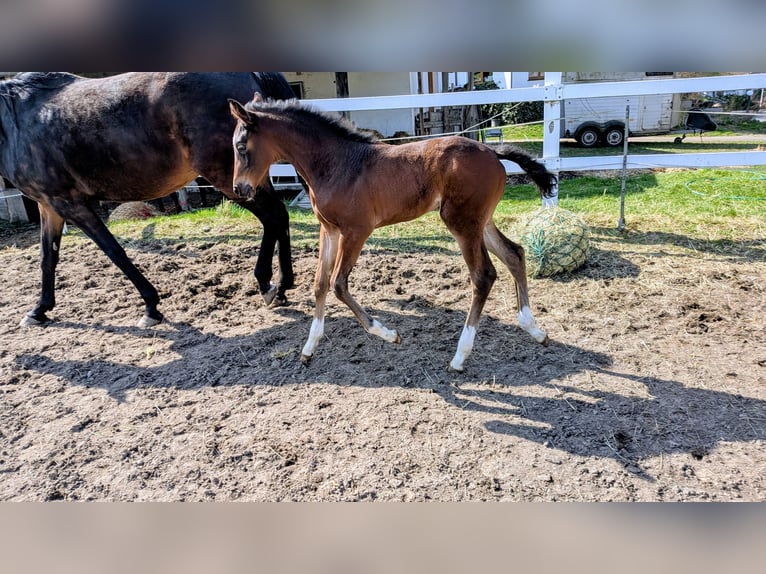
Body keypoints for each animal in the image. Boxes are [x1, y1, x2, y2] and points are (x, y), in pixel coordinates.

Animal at [0, 72, 296, 329]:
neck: (16, 123)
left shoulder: (69, 203)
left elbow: (115, 252)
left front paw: (151, 307)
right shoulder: (48, 205)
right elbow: (47, 257)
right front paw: (38, 310)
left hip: (230, 179)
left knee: (273, 217)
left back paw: (267, 284)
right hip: (250, 178)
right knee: (280, 216)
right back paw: (283, 284)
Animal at [229, 95, 557, 372]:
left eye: (241, 147)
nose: (239, 189)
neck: (337, 164)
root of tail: (492, 151)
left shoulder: (356, 231)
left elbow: (338, 284)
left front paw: (388, 333)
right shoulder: (329, 230)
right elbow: (320, 283)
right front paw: (309, 348)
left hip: (462, 223)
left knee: (483, 275)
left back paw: (459, 357)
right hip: (481, 221)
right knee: (514, 254)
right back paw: (535, 330)